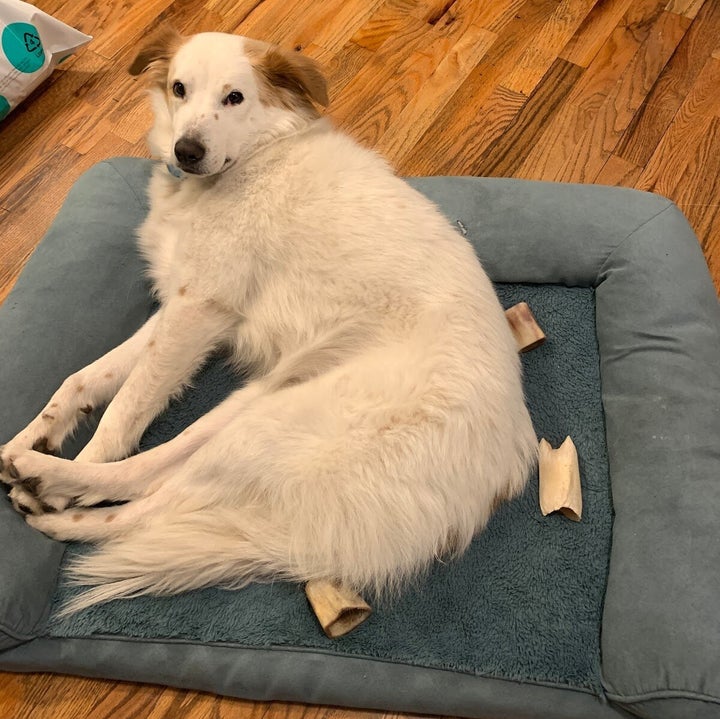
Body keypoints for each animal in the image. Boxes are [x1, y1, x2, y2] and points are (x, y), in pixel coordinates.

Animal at [0, 28, 536, 612]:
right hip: (254, 402)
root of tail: (502, 470)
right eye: (179, 88)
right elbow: (82, 380)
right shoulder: (178, 308)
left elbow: (124, 409)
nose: (186, 152)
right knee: (158, 478)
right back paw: (39, 475)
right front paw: (33, 434)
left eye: (235, 97)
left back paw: (52, 492)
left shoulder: (197, 311)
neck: (252, 159)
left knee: (149, 503)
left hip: (269, 424)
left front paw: (79, 453)